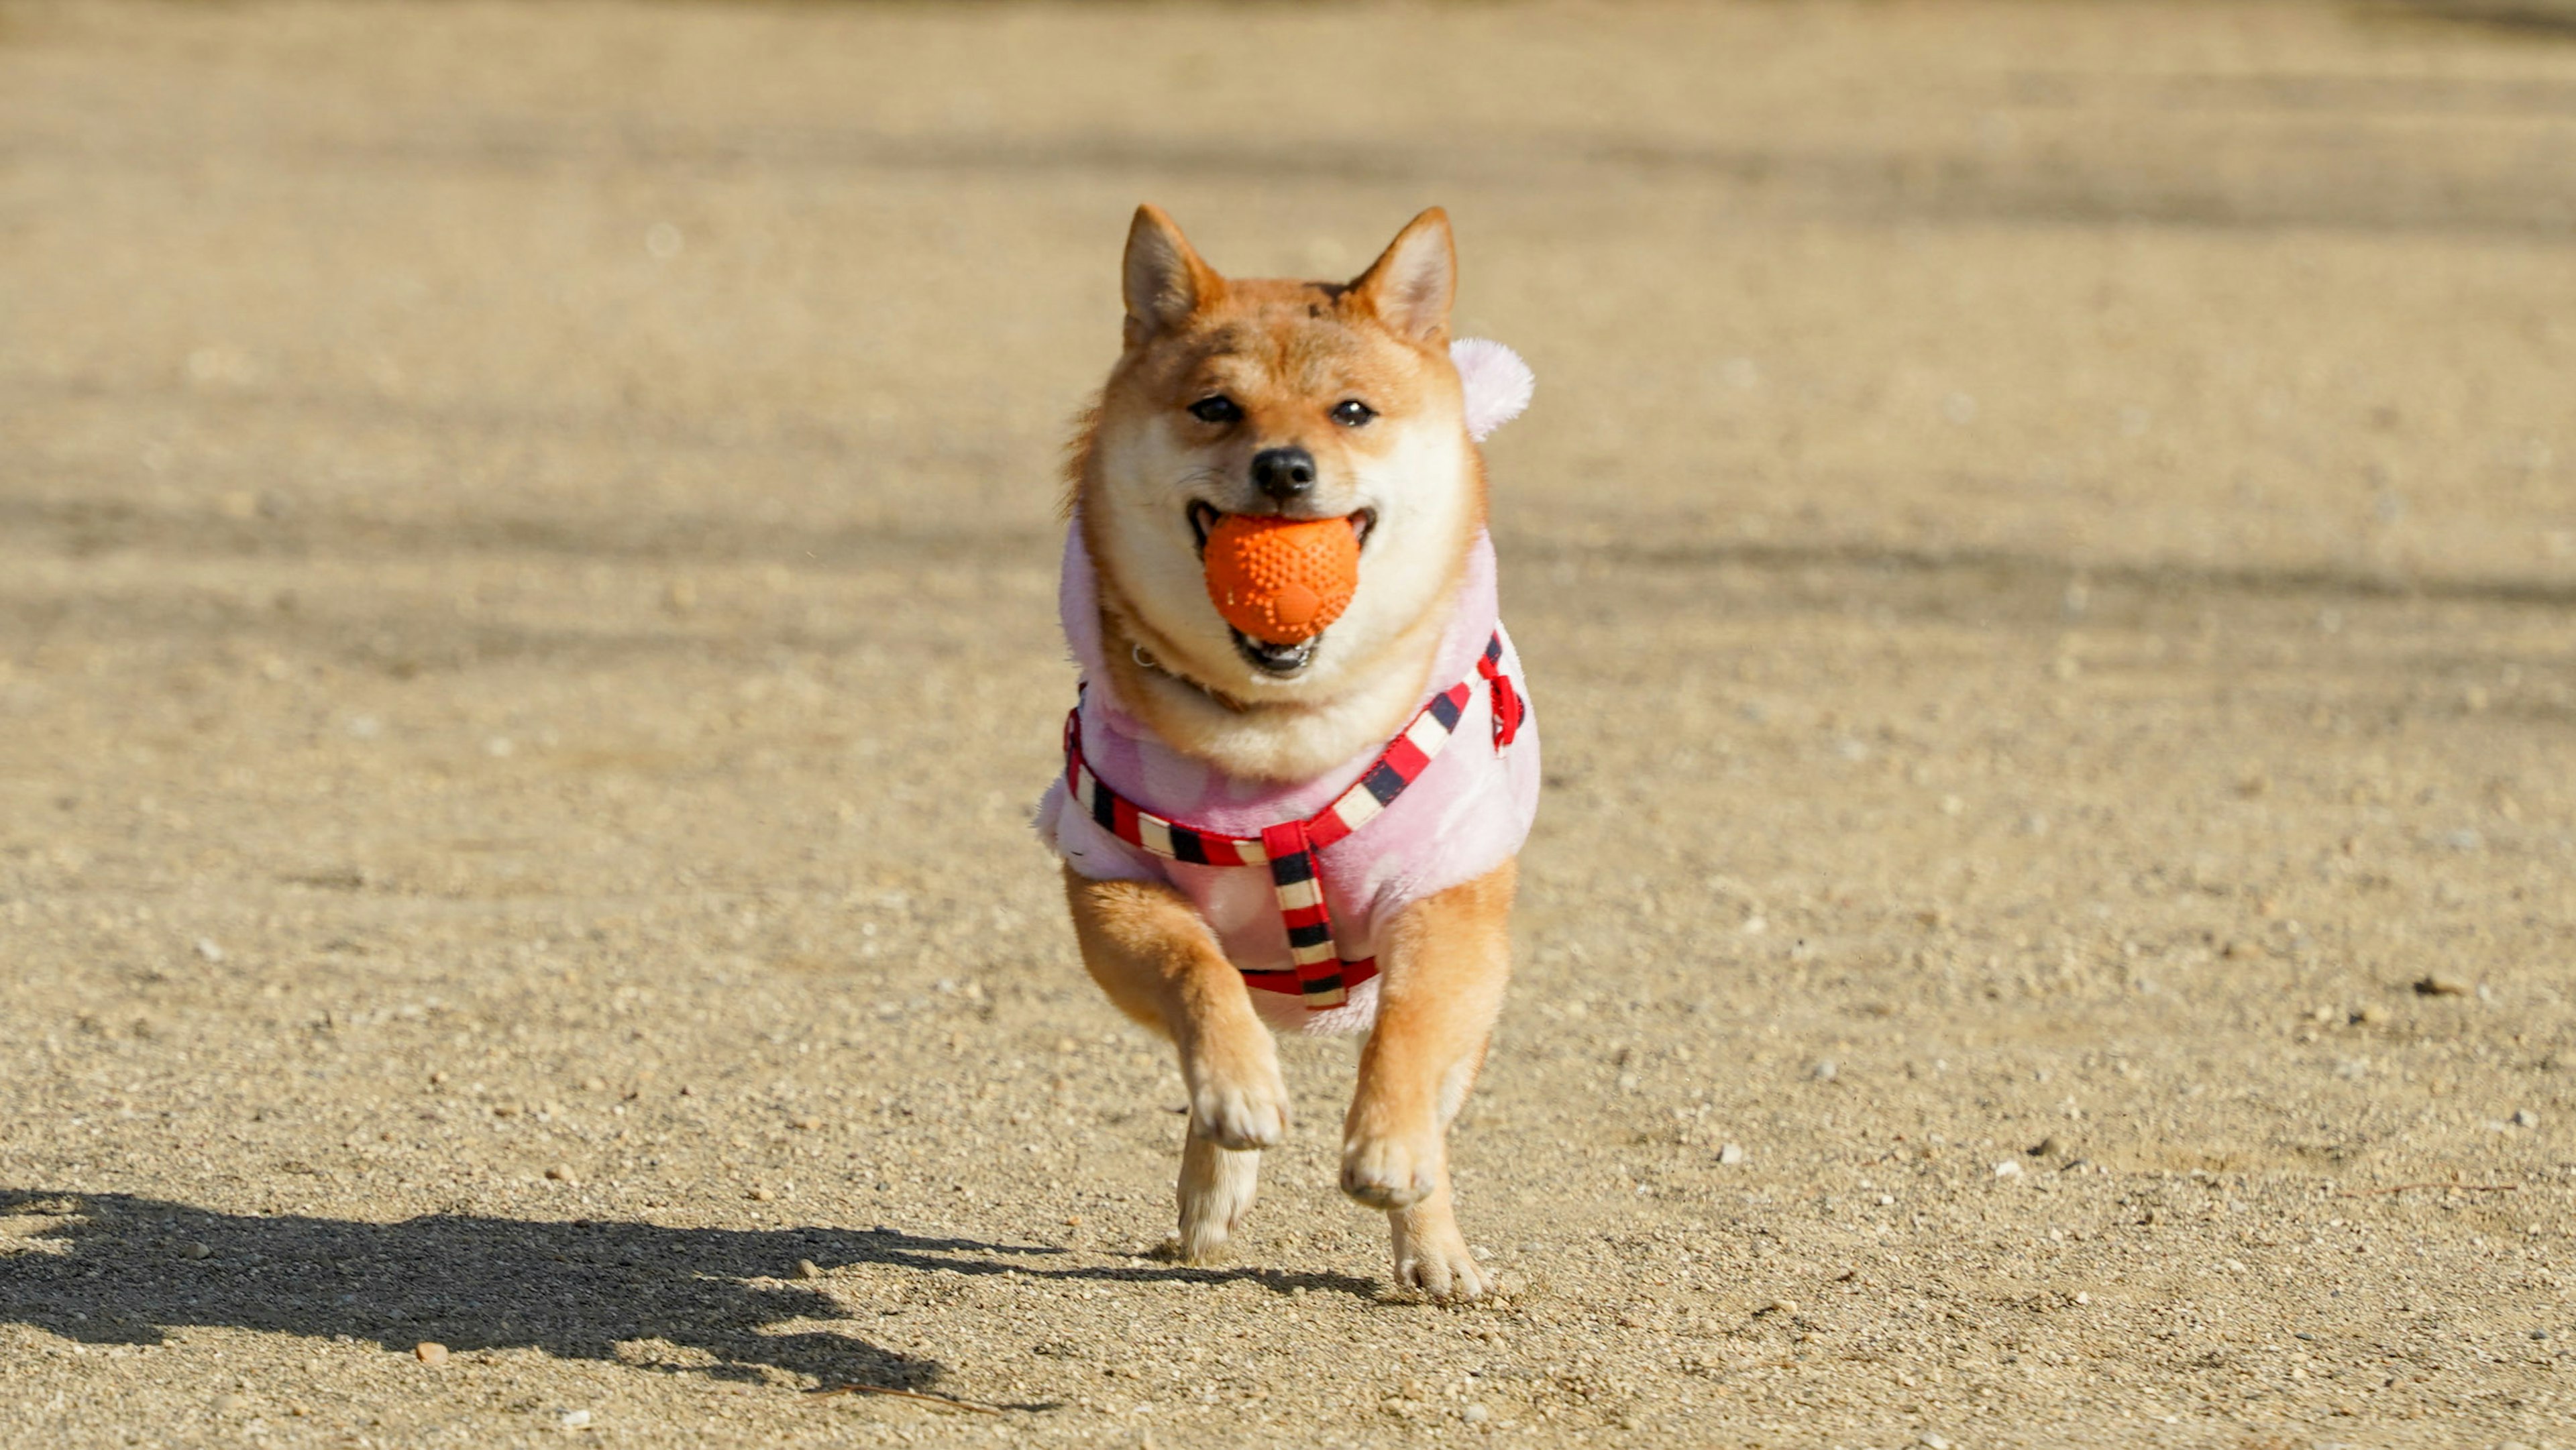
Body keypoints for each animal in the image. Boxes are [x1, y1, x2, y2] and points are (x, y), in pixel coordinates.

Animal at [1035, 207, 1535, 1303]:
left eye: (1352, 411)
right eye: (1215, 408)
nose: (1283, 468)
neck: (1279, 731)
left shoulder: (1446, 897)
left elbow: (1411, 1027)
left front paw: (1389, 1148)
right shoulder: (1111, 884)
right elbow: (1195, 971)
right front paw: (1239, 1089)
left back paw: (1433, 1242)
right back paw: (1215, 1180)